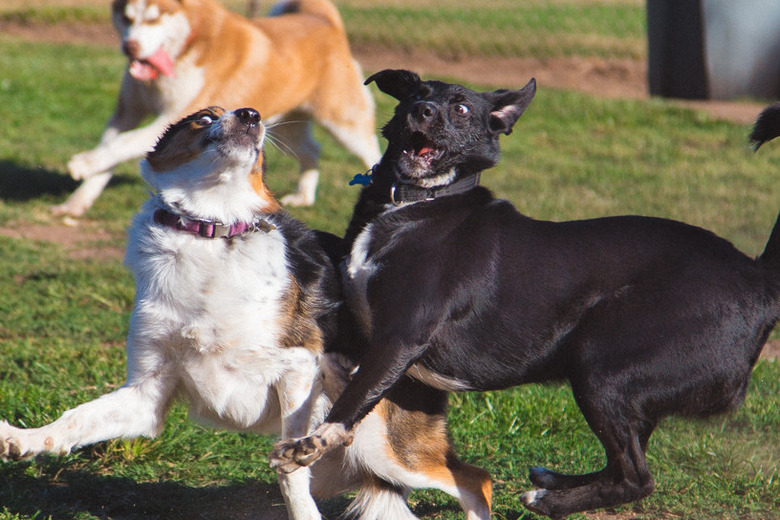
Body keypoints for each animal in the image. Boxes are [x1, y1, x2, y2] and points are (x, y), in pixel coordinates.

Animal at [3, 106, 494, 520]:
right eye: (204, 117)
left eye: (252, 116)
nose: (251, 114)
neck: (211, 231)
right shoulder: (147, 395)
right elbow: (77, 417)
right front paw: (25, 439)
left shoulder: (298, 368)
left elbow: (289, 469)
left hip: (383, 443)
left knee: (476, 480)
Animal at [54, 0, 378, 217]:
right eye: (126, 17)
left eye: (155, 19)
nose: (129, 47)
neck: (186, 46)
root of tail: (323, 19)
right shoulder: (127, 112)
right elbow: (110, 152)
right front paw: (77, 202)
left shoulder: (177, 116)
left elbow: (123, 143)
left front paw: (82, 164)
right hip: (283, 126)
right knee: (312, 150)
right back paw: (304, 196)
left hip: (344, 124)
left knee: (372, 152)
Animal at [272, 71, 780, 516]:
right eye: (415, 93)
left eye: (460, 109)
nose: (423, 110)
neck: (416, 205)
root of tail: (759, 275)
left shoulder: (400, 338)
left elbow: (352, 401)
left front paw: (309, 445)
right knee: (625, 462)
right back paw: (553, 483)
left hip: (601, 365)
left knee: (636, 477)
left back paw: (550, 501)